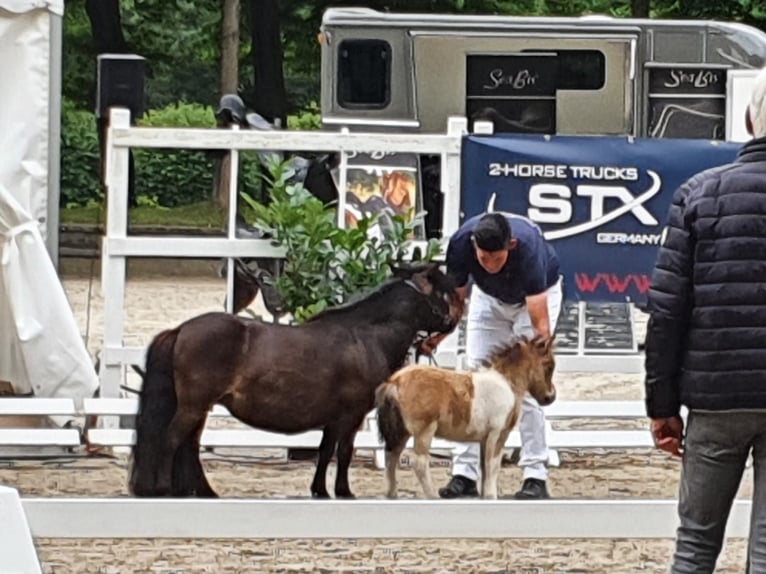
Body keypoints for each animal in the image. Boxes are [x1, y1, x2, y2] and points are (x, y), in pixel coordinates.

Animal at [129, 266, 462, 500]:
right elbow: (344, 452)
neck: (364, 336)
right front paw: (344, 491)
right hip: (193, 406)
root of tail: (180, 330)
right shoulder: (351, 415)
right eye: (440, 293)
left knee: (189, 446)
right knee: (172, 440)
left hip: (199, 408)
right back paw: (164, 488)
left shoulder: (334, 418)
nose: (451, 321)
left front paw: (320, 490)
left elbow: (325, 451)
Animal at [376, 338, 556, 500]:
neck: (506, 383)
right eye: (549, 365)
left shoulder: (484, 439)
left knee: (391, 456)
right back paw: (432, 496)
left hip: (401, 431)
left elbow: (485, 468)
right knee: (419, 462)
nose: (551, 397)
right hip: (424, 431)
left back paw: (392, 494)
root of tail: (395, 381)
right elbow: (493, 466)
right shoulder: (497, 434)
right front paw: (491, 496)